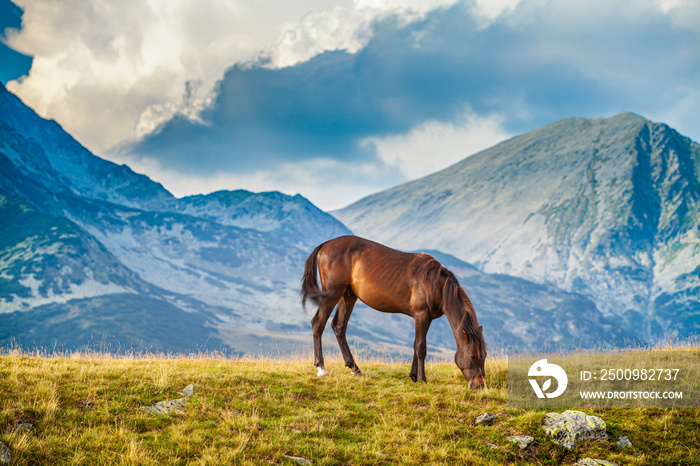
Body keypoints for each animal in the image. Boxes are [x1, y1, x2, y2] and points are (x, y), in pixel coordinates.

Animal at [300, 235, 486, 388]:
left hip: (348, 296)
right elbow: (421, 347)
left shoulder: (426, 318)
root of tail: (324, 245)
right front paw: (422, 379)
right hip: (331, 295)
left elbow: (415, 345)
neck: (434, 284)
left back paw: (355, 368)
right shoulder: (421, 315)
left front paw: (413, 376)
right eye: (473, 356)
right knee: (318, 324)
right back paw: (321, 369)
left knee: (339, 326)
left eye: (484, 355)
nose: (479, 386)